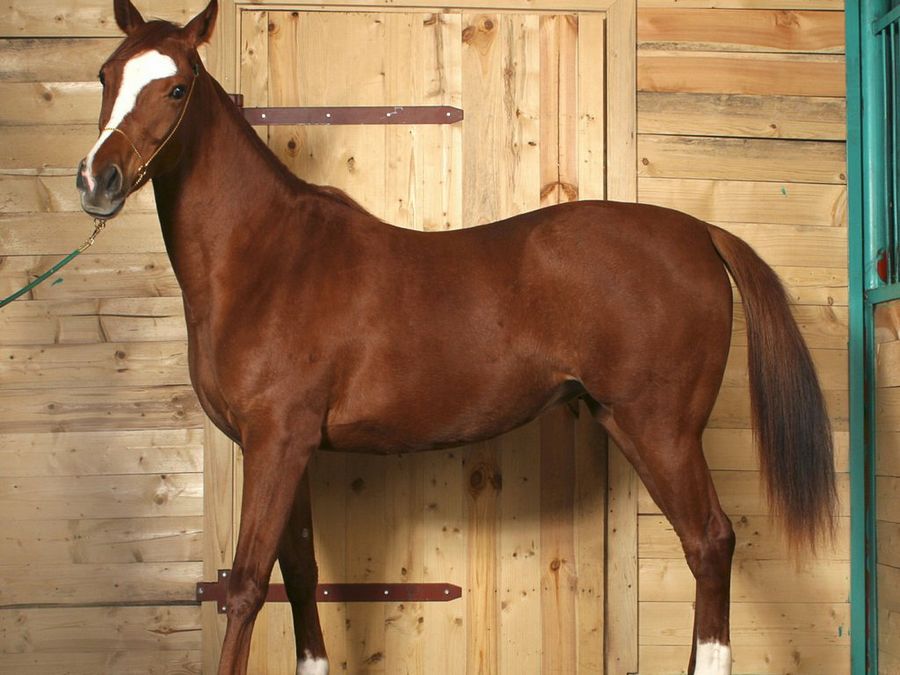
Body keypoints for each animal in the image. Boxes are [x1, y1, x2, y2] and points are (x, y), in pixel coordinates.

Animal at [76, 2, 836, 673]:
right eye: (106, 74)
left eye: (176, 87)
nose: (97, 180)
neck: (268, 256)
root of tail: (700, 232)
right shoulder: (285, 449)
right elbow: (299, 576)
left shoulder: (274, 442)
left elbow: (244, 587)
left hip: (662, 429)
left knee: (711, 543)